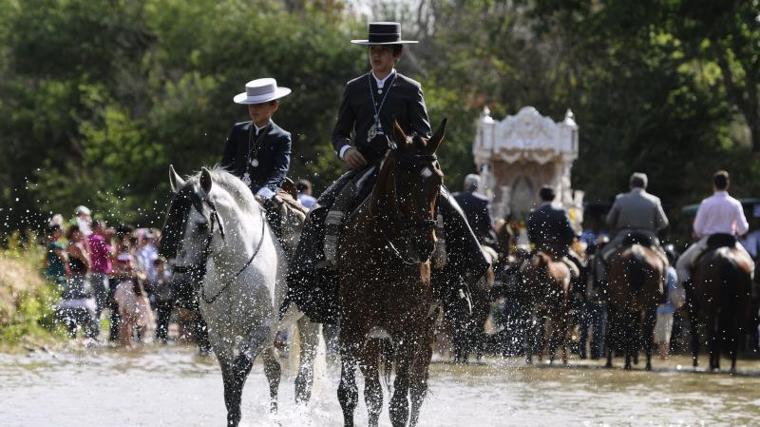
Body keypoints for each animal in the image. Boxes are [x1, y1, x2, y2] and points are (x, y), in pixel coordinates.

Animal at [162, 166, 322, 426]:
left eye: (202, 226)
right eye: (172, 225)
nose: (180, 288)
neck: (233, 269)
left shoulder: (260, 329)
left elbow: (238, 376)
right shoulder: (220, 336)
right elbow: (230, 387)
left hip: (308, 322)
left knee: (303, 379)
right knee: (274, 371)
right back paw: (274, 416)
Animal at [336, 120, 446, 427]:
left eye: (438, 181)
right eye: (403, 180)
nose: (424, 244)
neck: (384, 256)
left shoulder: (407, 332)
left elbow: (400, 403)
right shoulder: (352, 329)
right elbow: (350, 394)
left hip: (426, 330)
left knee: (418, 389)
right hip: (373, 337)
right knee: (374, 394)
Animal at [604, 237, 664, 372]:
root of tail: (637, 254)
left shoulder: (612, 305)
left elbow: (611, 330)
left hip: (627, 302)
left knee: (628, 329)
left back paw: (628, 363)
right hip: (650, 304)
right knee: (647, 330)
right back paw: (647, 364)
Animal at [688, 232, 756, 372]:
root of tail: (727, 260)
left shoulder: (694, 305)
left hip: (710, 307)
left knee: (712, 333)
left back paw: (711, 364)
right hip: (742, 306)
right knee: (735, 332)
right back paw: (732, 366)